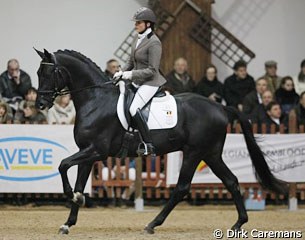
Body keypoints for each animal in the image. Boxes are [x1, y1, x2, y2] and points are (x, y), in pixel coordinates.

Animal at [34, 48, 286, 234]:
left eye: (48, 73)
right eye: (37, 73)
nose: (40, 104)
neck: (95, 99)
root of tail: (220, 107)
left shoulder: (97, 151)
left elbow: (63, 165)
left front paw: (72, 197)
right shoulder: (88, 153)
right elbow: (76, 180)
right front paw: (68, 222)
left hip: (194, 153)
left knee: (182, 188)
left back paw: (152, 224)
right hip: (211, 154)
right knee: (231, 181)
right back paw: (238, 223)